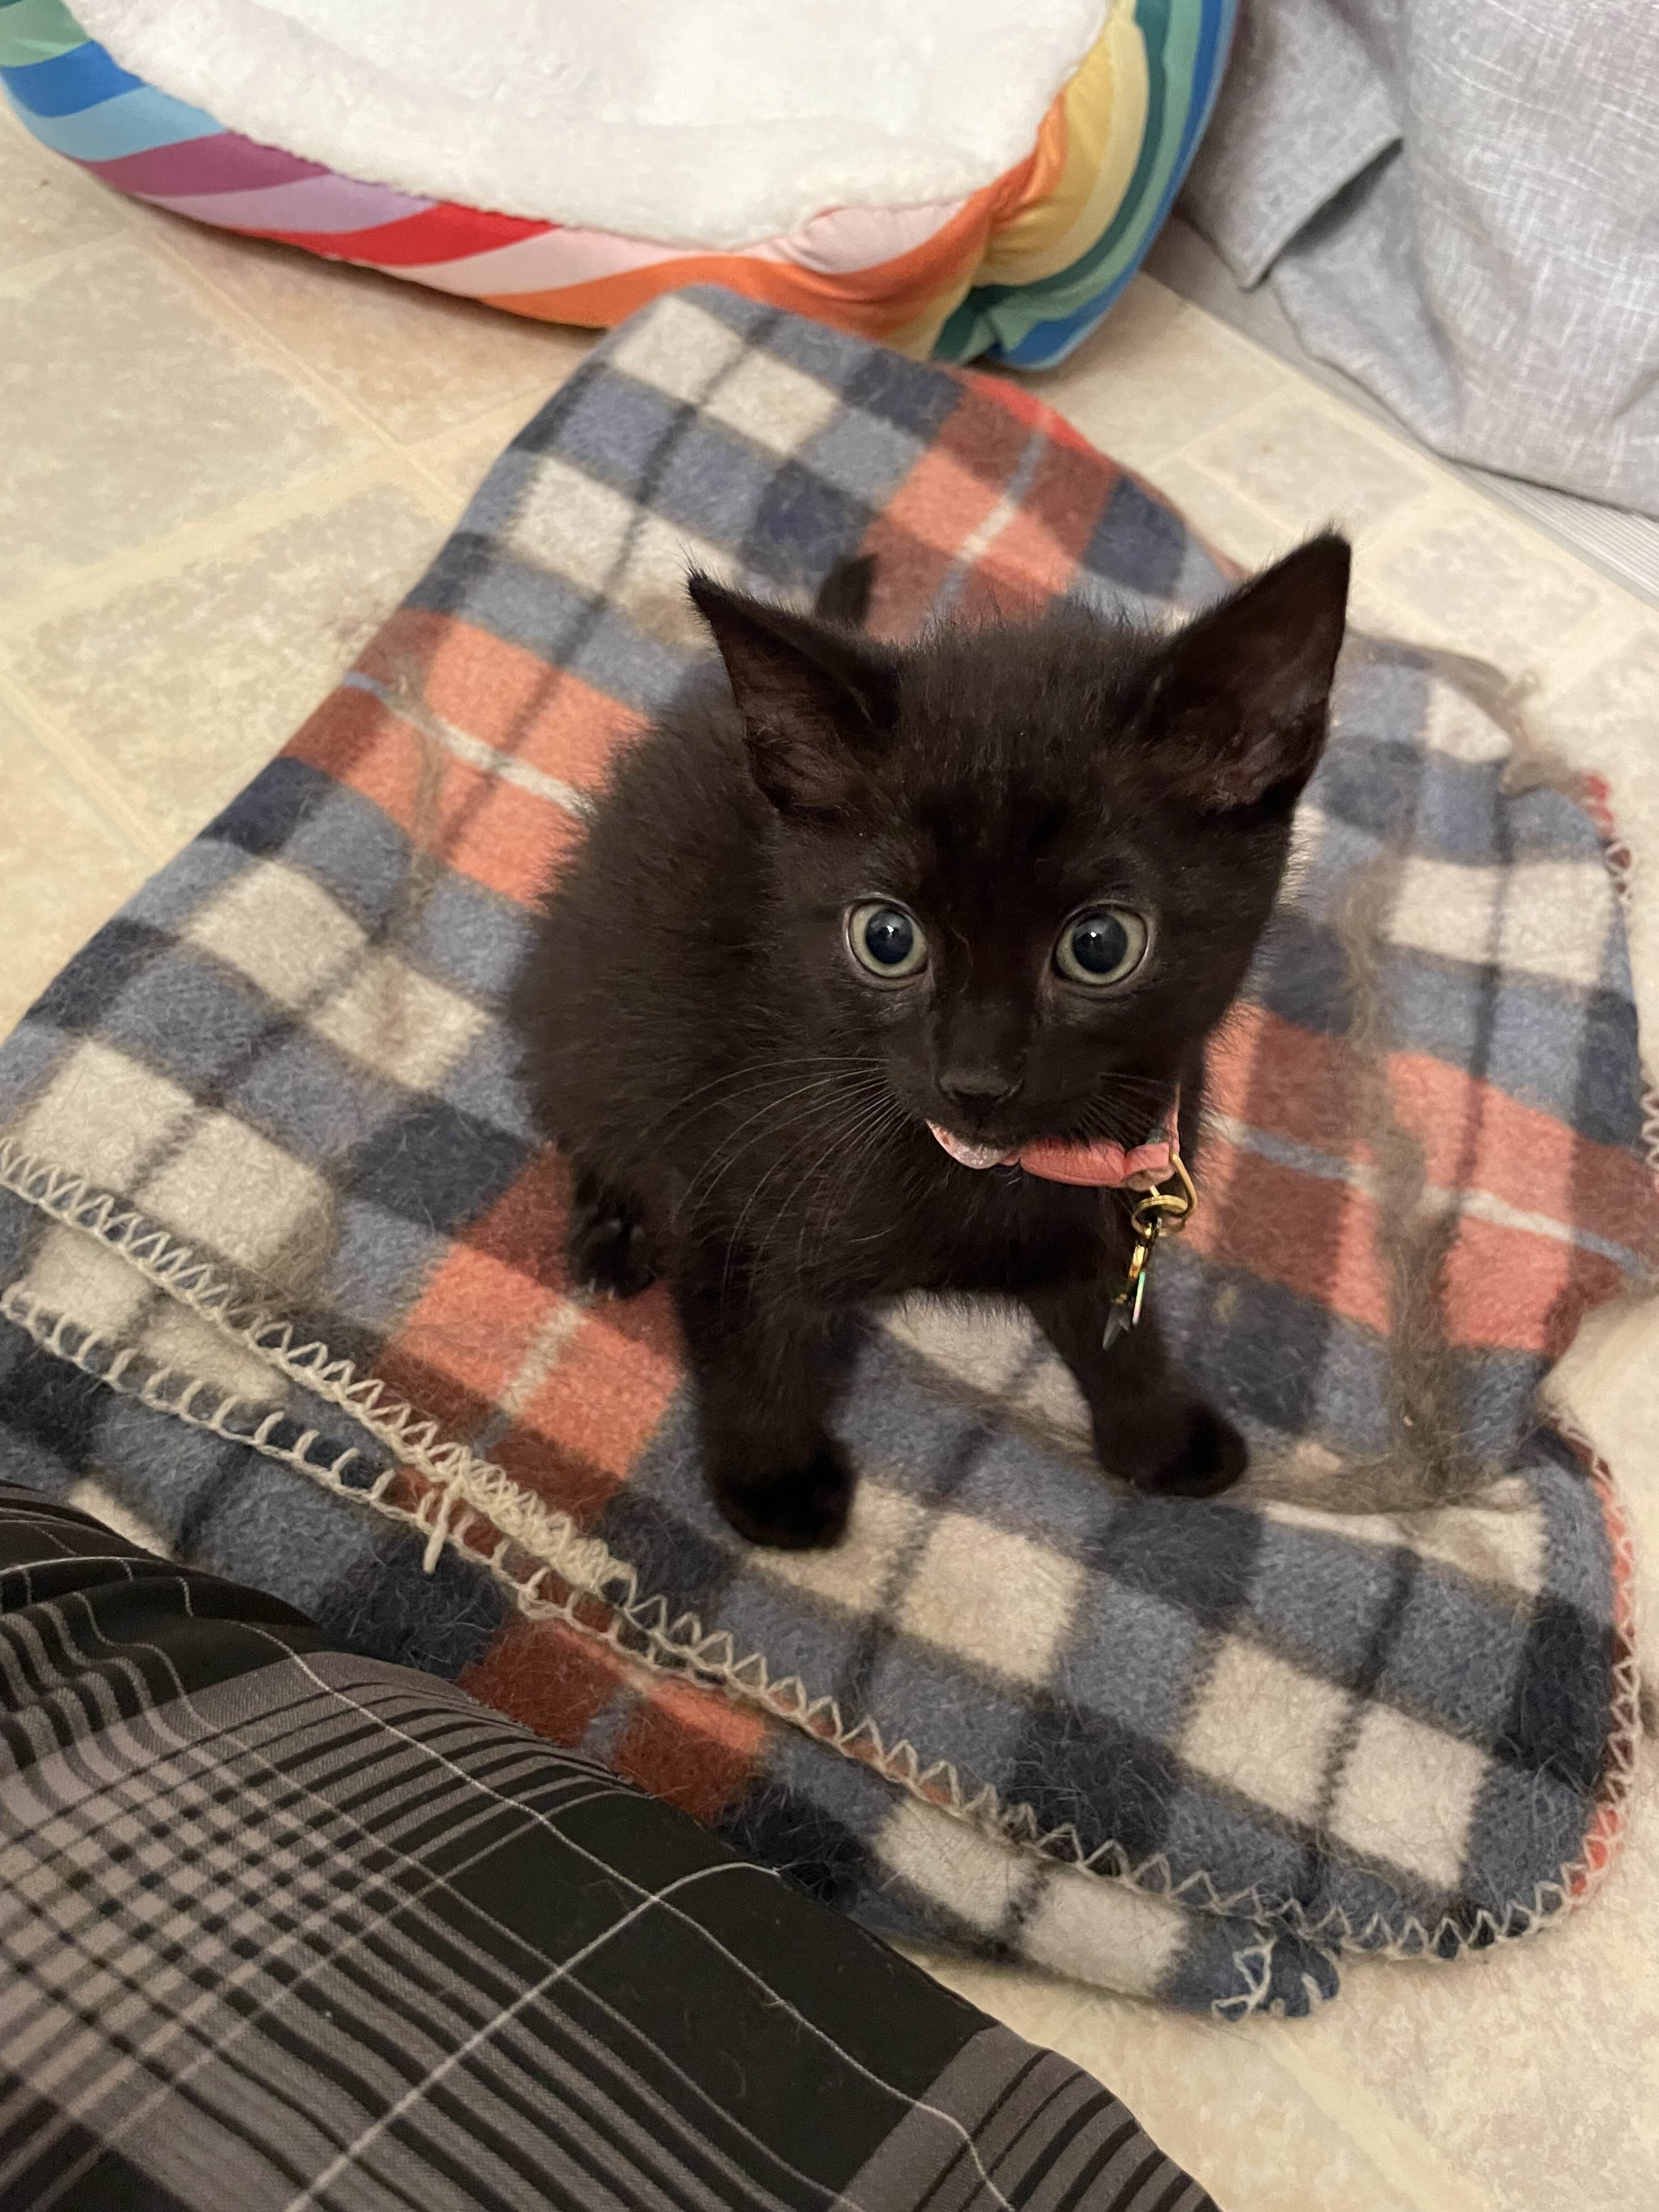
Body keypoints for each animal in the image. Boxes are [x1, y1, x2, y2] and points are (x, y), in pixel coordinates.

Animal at [517, 537, 1353, 1548]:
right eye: (886, 937)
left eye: (1100, 945)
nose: (976, 1078)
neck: (997, 1172)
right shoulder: (730, 1168)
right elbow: (746, 1338)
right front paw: (773, 1484)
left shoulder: (1112, 1206)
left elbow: (1114, 1325)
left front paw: (1158, 1431)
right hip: (587, 1023)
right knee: (590, 1115)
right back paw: (612, 1228)